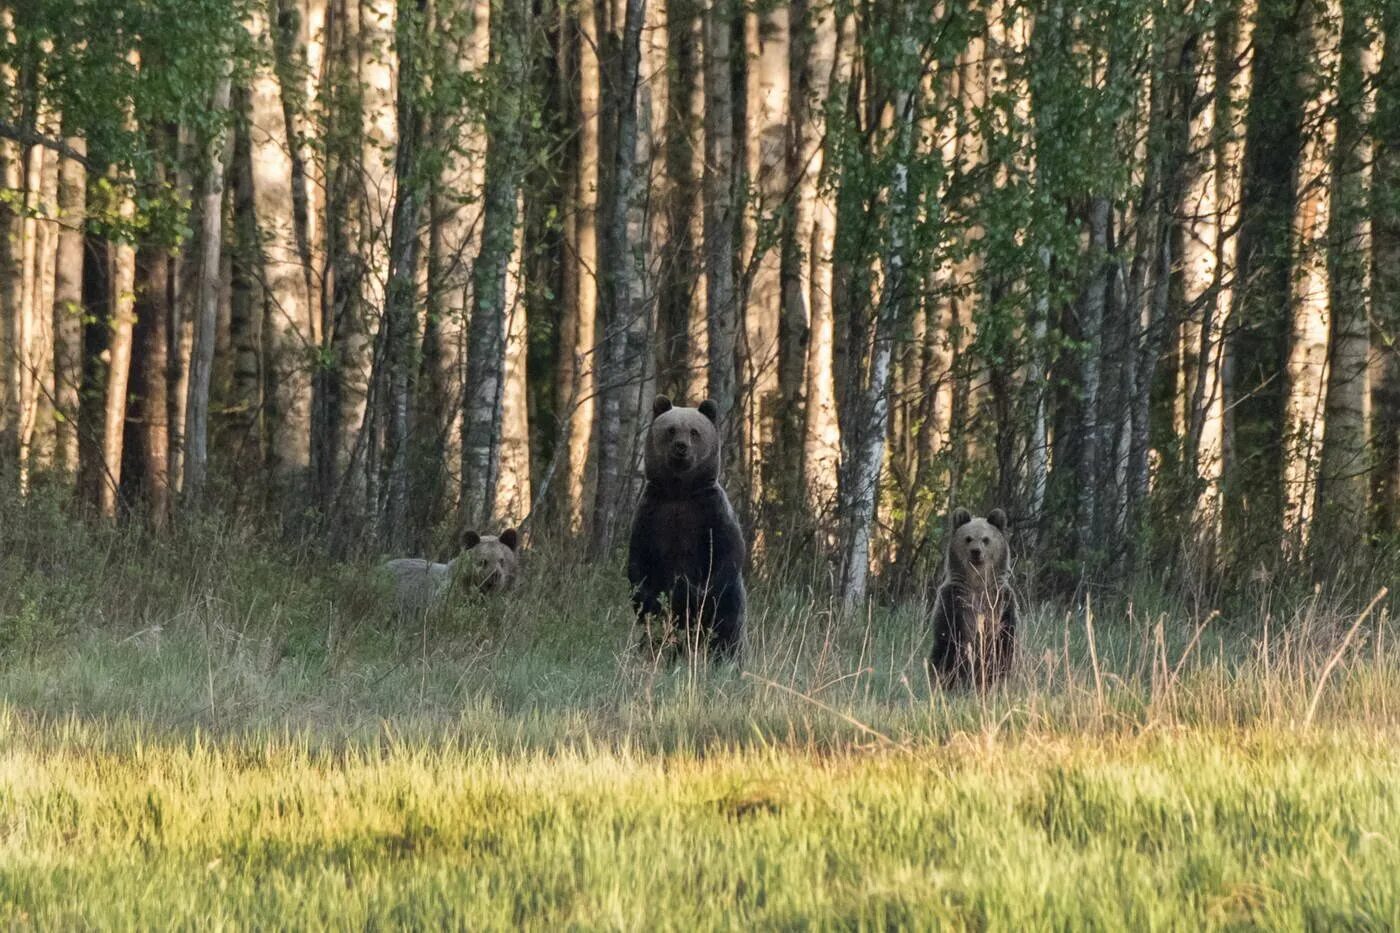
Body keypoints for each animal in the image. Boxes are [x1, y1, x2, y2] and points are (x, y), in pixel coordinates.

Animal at [632, 395, 750, 658]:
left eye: (694, 432)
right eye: (671, 429)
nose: (680, 447)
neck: (680, 492)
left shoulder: (711, 513)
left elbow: (727, 556)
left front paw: (690, 592)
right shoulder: (651, 515)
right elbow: (640, 565)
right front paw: (654, 599)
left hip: (732, 607)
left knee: (725, 631)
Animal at [929, 504, 1019, 686]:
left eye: (985, 539)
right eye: (968, 538)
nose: (976, 552)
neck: (978, 584)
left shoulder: (1002, 600)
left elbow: (1005, 639)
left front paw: (997, 676)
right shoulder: (954, 598)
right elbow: (948, 636)